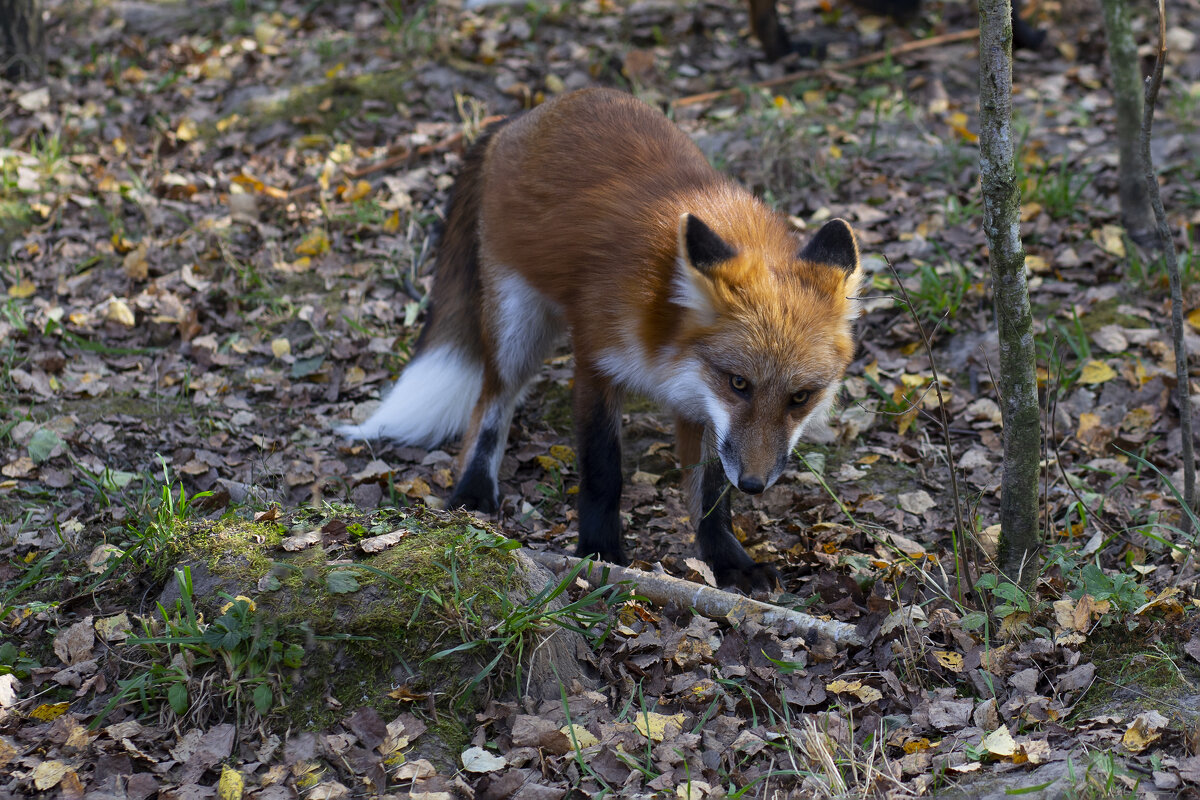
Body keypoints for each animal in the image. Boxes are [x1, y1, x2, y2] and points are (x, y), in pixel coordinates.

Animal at [343, 89, 868, 587]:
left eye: (800, 397)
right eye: (740, 384)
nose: (756, 484)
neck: (665, 326)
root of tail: (523, 116)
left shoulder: (702, 407)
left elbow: (711, 494)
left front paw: (727, 560)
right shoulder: (598, 361)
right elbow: (602, 471)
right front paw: (598, 550)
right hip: (517, 326)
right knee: (490, 405)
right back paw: (473, 490)